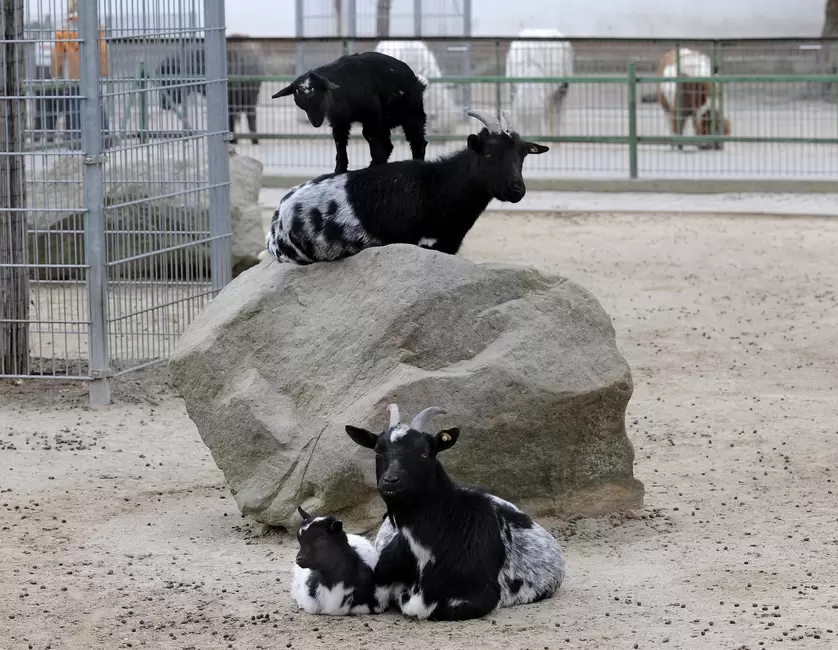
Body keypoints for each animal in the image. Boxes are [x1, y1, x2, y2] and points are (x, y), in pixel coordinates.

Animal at [271, 51, 429, 174]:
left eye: (320, 101)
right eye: (301, 105)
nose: (316, 123)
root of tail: (417, 81)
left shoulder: (372, 116)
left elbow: (373, 141)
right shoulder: (339, 121)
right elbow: (340, 142)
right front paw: (339, 169)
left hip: (411, 114)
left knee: (417, 141)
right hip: (387, 121)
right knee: (389, 145)